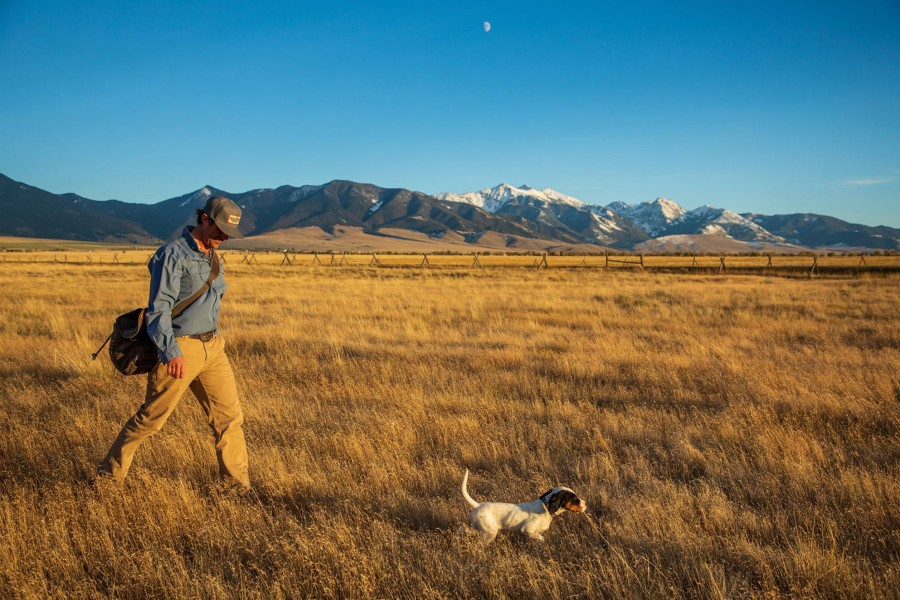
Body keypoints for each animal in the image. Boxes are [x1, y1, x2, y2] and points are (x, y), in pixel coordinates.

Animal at [460, 468, 588, 544]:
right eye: (574, 499)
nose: (585, 504)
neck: (546, 507)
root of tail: (478, 505)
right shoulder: (528, 529)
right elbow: (541, 538)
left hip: (477, 527)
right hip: (489, 532)